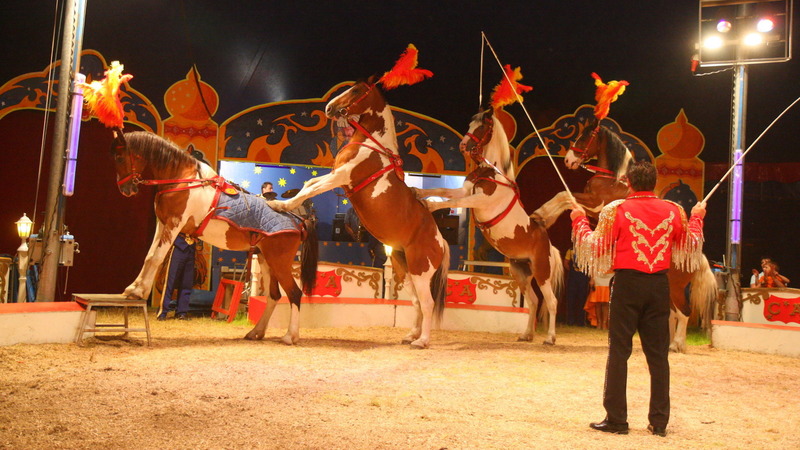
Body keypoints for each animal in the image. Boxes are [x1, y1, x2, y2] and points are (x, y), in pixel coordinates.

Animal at [112, 130, 318, 344]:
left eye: (119, 157)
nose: (125, 190)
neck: (184, 180)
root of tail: (298, 220)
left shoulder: (174, 224)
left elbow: (156, 258)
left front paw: (138, 291)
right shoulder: (163, 224)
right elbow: (149, 256)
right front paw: (133, 288)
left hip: (279, 263)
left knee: (294, 293)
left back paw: (290, 336)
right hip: (265, 260)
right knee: (273, 296)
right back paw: (256, 332)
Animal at [268, 75, 450, 348]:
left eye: (355, 90)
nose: (329, 108)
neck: (371, 146)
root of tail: (441, 241)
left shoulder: (341, 176)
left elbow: (310, 190)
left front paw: (281, 205)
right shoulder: (336, 175)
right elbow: (309, 185)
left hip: (421, 271)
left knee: (427, 303)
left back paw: (422, 341)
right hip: (405, 270)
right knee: (417, 303)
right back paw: (411, 336)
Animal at [412, 109, 564, 344]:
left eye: (481, 127)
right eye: (470, 124)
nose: (463, 146)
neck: (491, 172)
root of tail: (548, 244)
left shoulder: (480, 200)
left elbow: (455, 201)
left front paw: (430, 204)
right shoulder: (466, 190)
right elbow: (444, 191)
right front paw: (419, 192)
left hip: (542, 273)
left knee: (552, 302)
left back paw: (550, 338)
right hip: (522, 274)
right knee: (533, 301)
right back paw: (526, 335)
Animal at [536, 118, 716, 352]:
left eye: (585, 136)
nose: (568, 160)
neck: (613, 180)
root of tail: (696, 256)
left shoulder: (595, 204)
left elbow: (564, 196)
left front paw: (542, 214)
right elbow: (565, 198)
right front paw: (543, 214)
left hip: (676, 289)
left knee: (683, 314)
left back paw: (676, 345)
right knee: (674, 315)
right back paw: (674, 344)